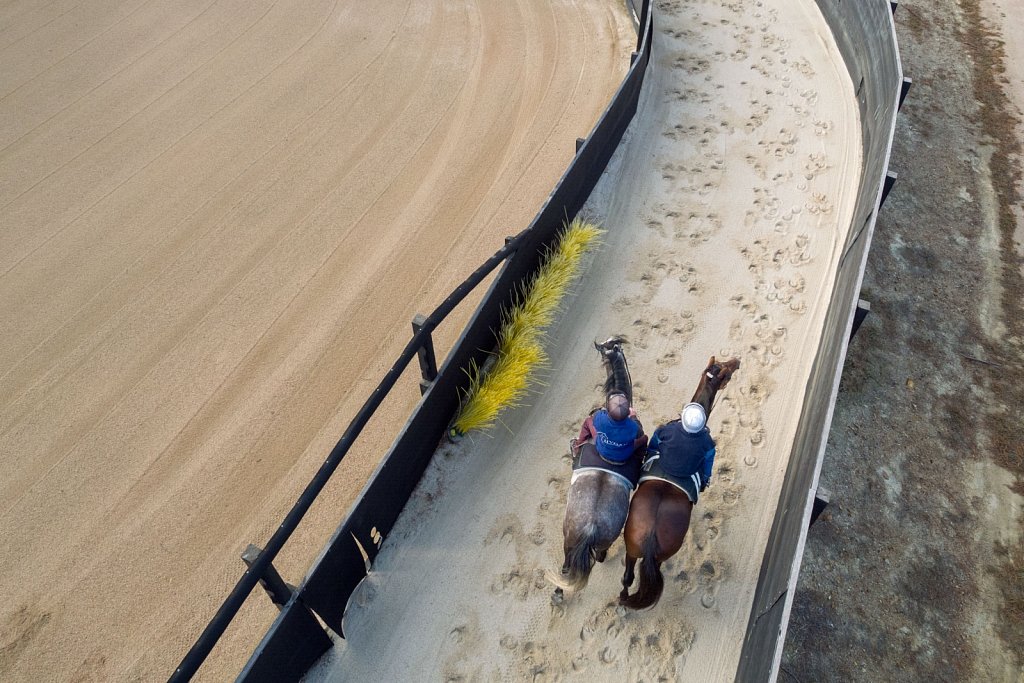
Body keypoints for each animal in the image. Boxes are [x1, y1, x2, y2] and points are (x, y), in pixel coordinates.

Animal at [552, 335, 638, 598]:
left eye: (603, 350)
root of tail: (590, 525)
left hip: (568, 539)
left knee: (568, 566)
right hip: (603, 538)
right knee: (597, 556)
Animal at [610, 356, 741, 610]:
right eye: (726, 370)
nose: (737, 361)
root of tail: (651, 535)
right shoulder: (709, 449)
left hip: (632, 548)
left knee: (627, 578)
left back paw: (623, 598)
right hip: (661, 555)